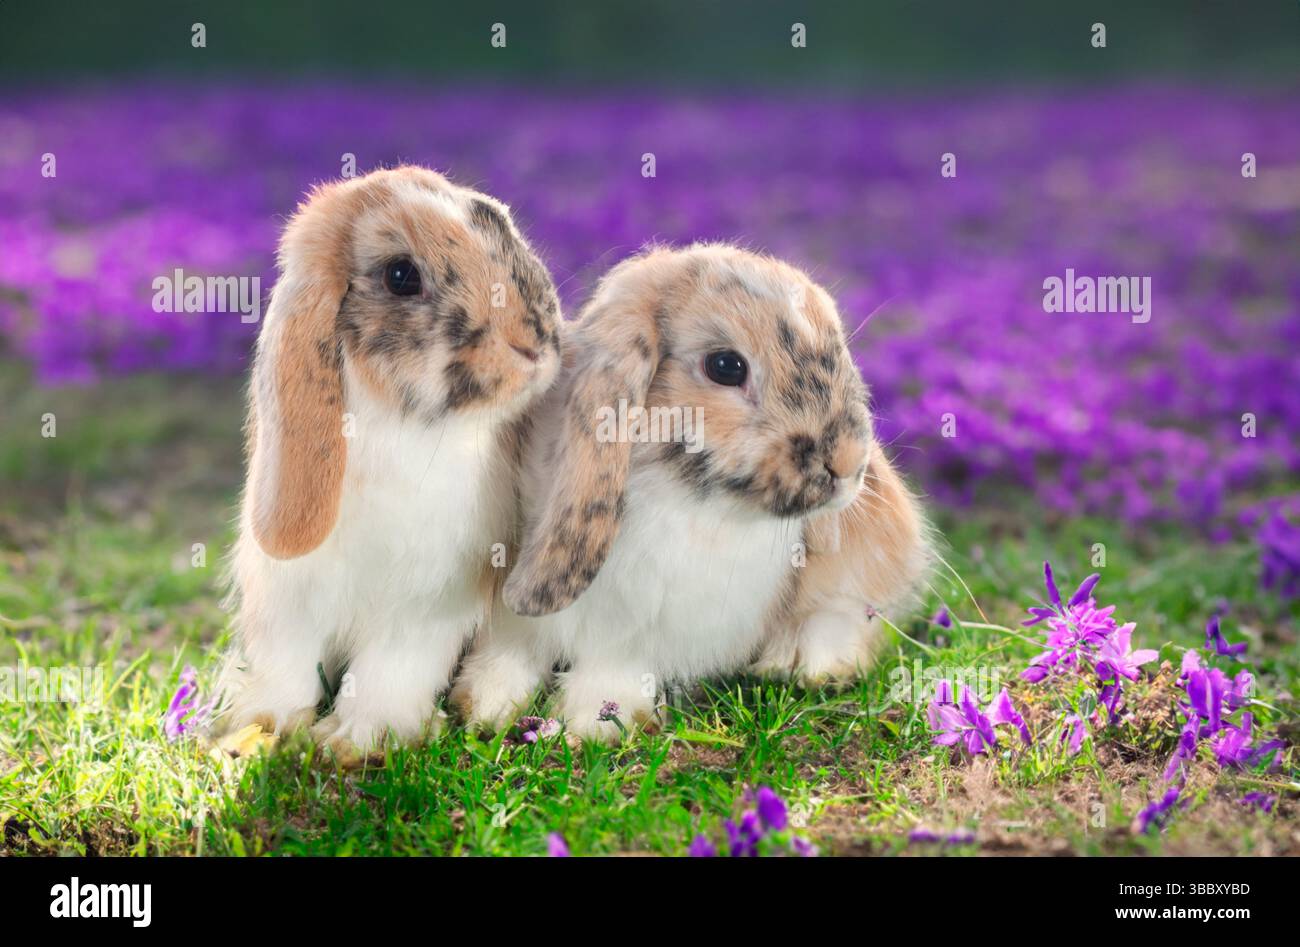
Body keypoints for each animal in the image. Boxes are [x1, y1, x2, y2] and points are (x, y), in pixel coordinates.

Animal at [217, 165, 561, 763]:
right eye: (401, 276)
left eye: (497, 221)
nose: (534, 342)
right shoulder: (288, 597)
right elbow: (287, 667)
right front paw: (263, 725)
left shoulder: (426, 604)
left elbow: (389, 672)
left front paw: (359, 739)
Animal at [449, 243, 927, 742]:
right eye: (726, 366)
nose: (849, 464)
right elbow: (511, 648)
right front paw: (484, 708)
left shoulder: (642, 629)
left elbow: (611, 667)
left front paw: (589, 727)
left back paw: (809, 666)